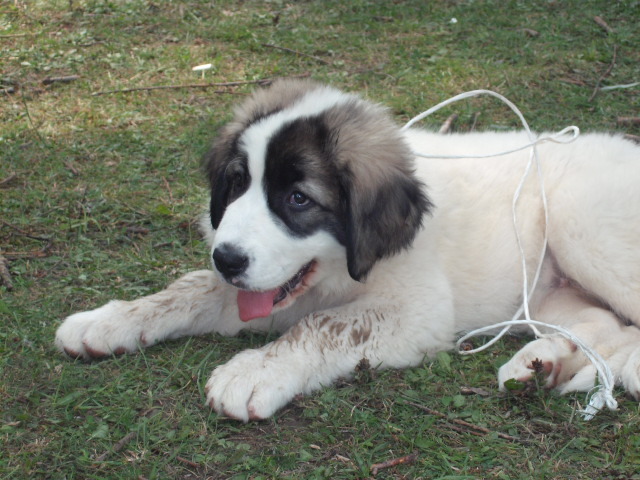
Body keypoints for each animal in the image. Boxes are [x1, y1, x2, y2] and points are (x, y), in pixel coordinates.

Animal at [55, 80, 640, 422]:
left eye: (298, 199)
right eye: (238, 184)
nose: (227, 258)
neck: (339, 273)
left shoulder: (418, 312)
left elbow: (327, 326)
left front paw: (255, 372)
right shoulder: (267, 286)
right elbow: (189, 289)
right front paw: (108, 321)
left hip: (580, 223)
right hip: (549, 290)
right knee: (604, 327)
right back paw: (539, 366)